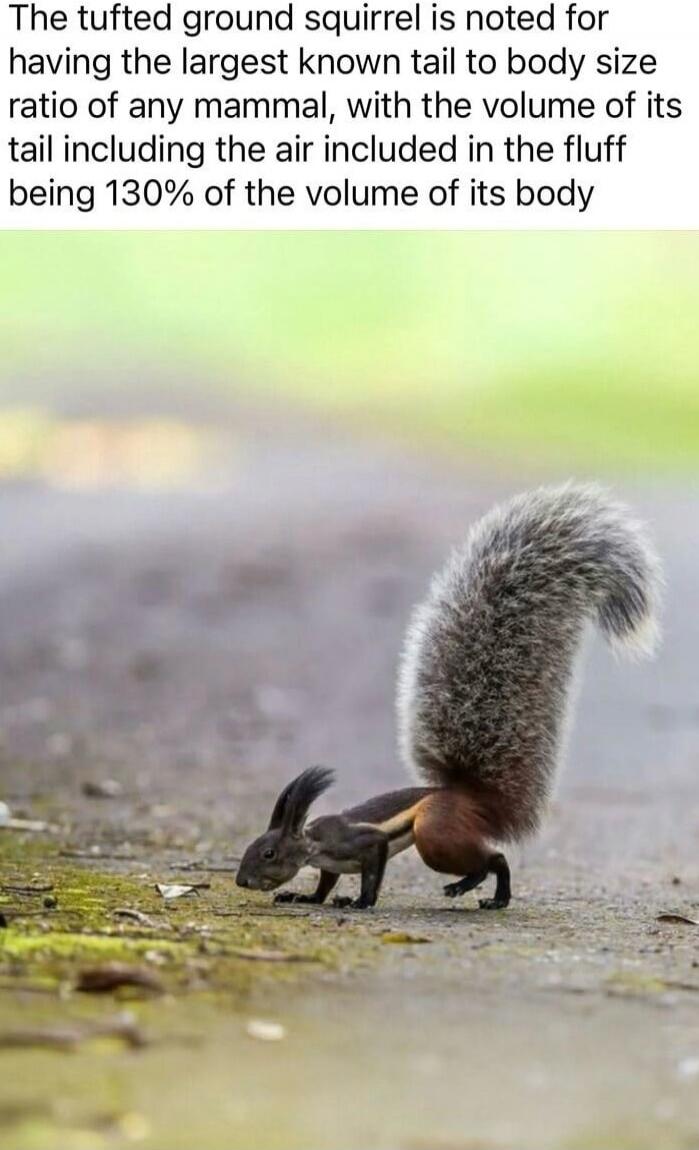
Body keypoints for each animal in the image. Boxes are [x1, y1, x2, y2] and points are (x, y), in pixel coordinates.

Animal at [236, 484, 662, 910]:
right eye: (252, 847)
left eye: (269, 853)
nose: (242, 880)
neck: (314, 843)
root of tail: (469, 798)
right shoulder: (331, 864)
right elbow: (325, 883)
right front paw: (306, 897)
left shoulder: (364, 841)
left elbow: (373, 866)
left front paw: (361, 901)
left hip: (434, 833)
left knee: (495, 857)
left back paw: (479, 890)